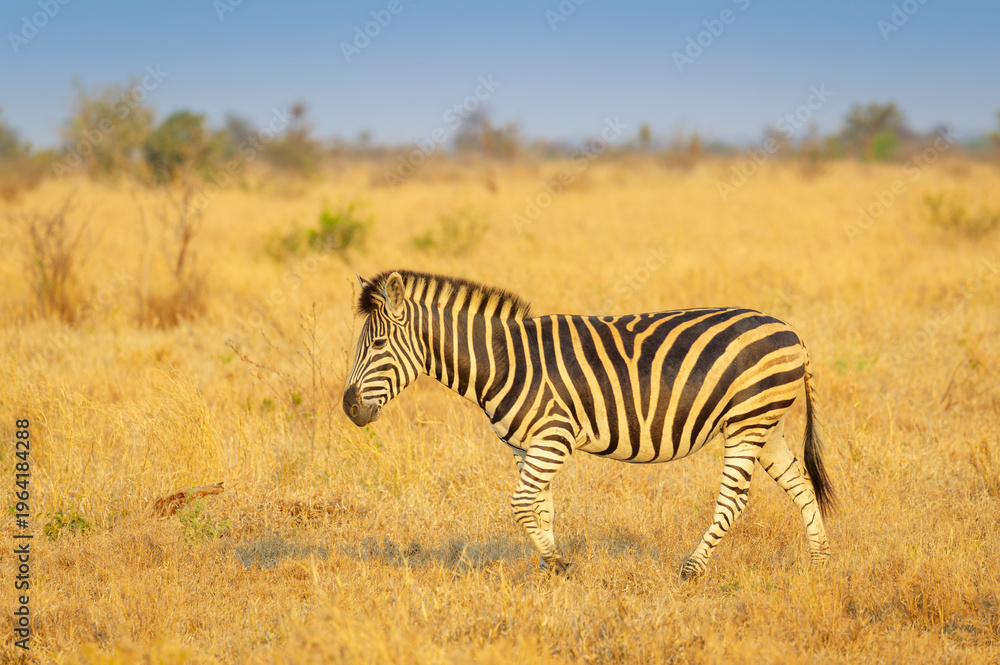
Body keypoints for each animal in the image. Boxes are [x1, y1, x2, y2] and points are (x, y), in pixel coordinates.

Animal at [342, 269, 835, 578]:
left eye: (379, 344)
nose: (348, 408)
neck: (504, 361)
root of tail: (791, 331)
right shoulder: (526, 444)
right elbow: (540, 506)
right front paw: (549, 568)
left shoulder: (554, 437)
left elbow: (521, 504)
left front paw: (558, 564)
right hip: (764, 424)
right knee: (801, 484)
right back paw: (820, 563)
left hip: (748, 421)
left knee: (734, 499)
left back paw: (693, 568)